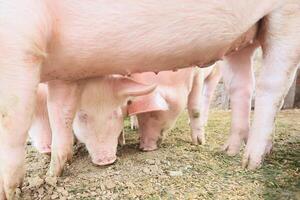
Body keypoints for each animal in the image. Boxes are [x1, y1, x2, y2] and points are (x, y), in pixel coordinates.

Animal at [0, 1, 300, 198]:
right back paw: (230, 150)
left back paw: (249, 162)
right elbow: (59, 113)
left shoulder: (19, 40)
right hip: (243, 42)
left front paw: (9, 191)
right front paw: (53, 174)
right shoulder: (66, 74)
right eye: (82, 118)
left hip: (286, 16)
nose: (106, 161)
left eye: (117, 114)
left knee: (272, 84)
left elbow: (11, 119)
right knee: (243, 85)